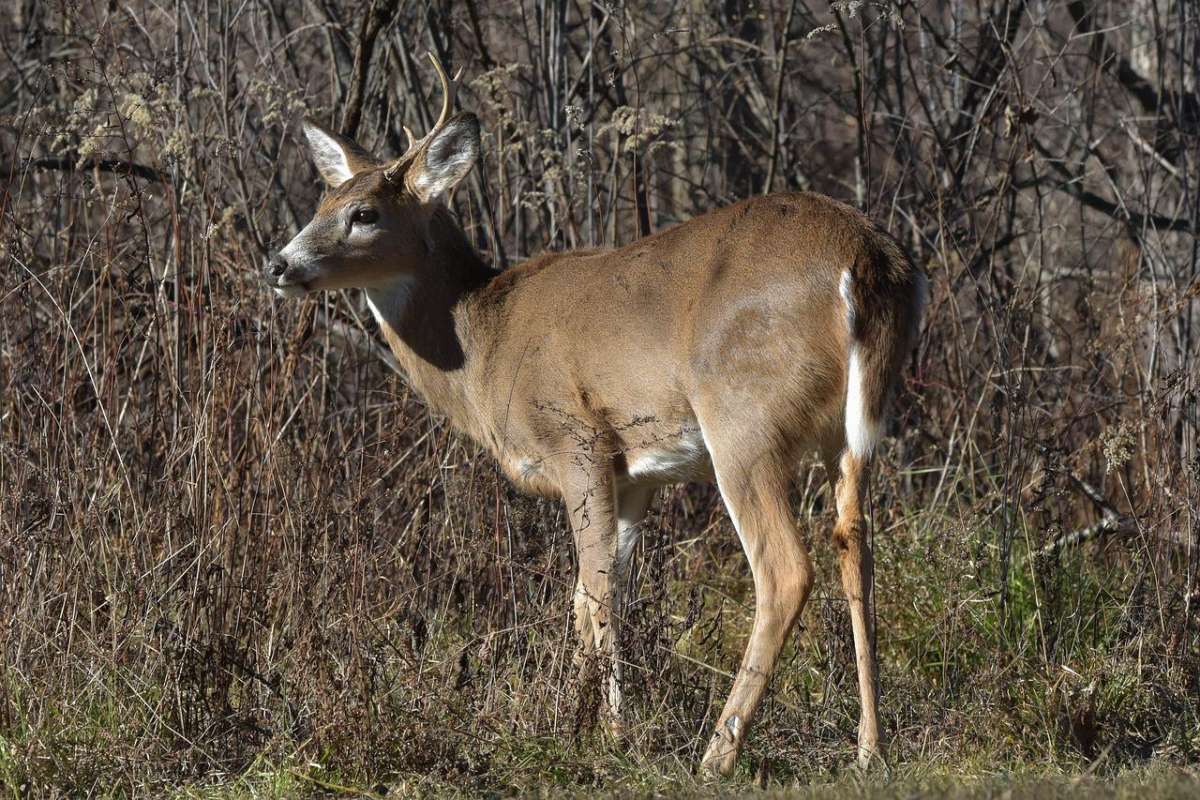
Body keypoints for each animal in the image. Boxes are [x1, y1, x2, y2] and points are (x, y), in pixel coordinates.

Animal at [267, 54, 926, 777]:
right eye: (319, 205)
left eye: (364, 213)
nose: (280, 264)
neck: (481, 342)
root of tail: (863, 261)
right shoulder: (633, 474)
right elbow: (590, 594)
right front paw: (570, 722)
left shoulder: (575, 438)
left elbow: (598, 586)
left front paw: (610, 736)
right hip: (855, 429)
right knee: (856, 547)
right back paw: (869, 750)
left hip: (742, 421)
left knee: (784, 570)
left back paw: (717, 754)